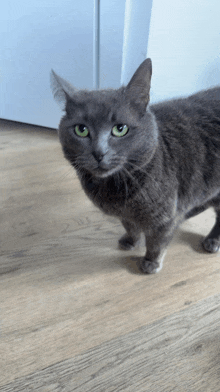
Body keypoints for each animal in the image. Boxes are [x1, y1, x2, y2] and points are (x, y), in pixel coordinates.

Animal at [50, 59, 220, 272]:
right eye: (81, 130)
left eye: (120, 129)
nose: (99, 153)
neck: (116, 188)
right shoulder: (125, 214)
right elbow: (130, 226)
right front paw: (130, 241)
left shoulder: (163, 218)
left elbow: (157, 242)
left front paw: (150, 262)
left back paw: (212, 240)